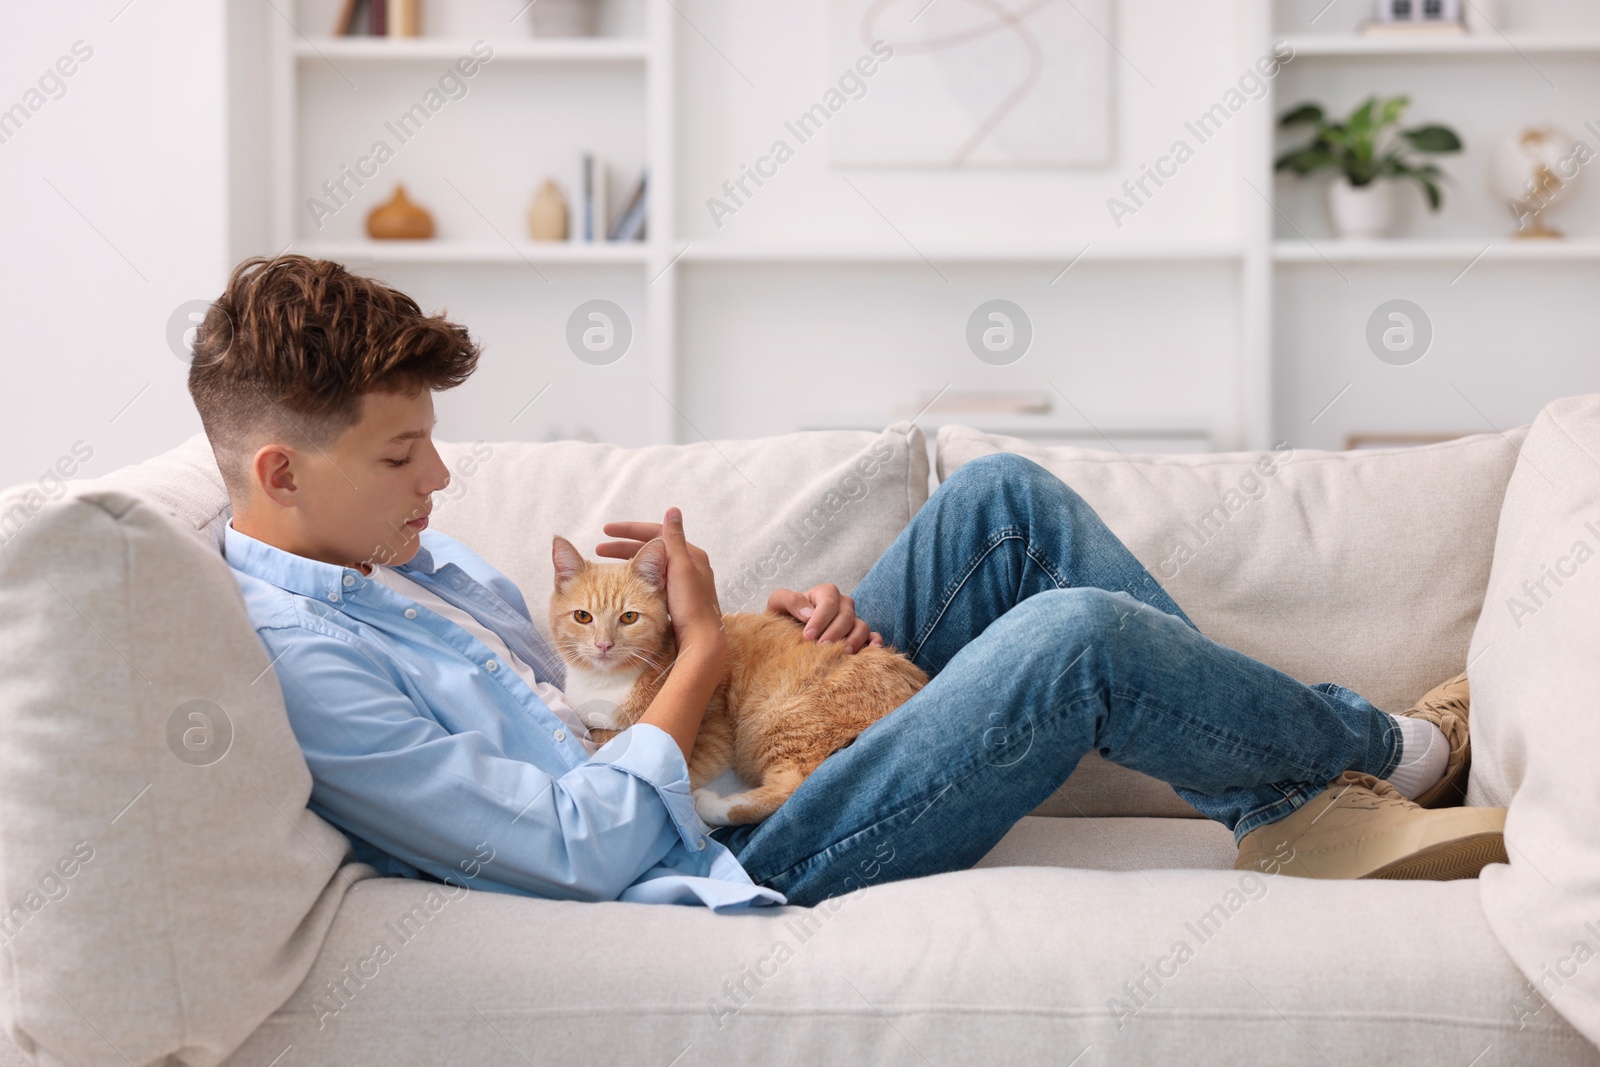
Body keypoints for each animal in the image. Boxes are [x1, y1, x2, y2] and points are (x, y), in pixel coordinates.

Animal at [550, 537, 934, 831]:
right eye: (583, 616)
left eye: (628, 617)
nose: (603, 644)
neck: (606, 681)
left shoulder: (711, 731)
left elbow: (664, 762)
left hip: (775, 717)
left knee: (795, 784)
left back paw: (714, 806)